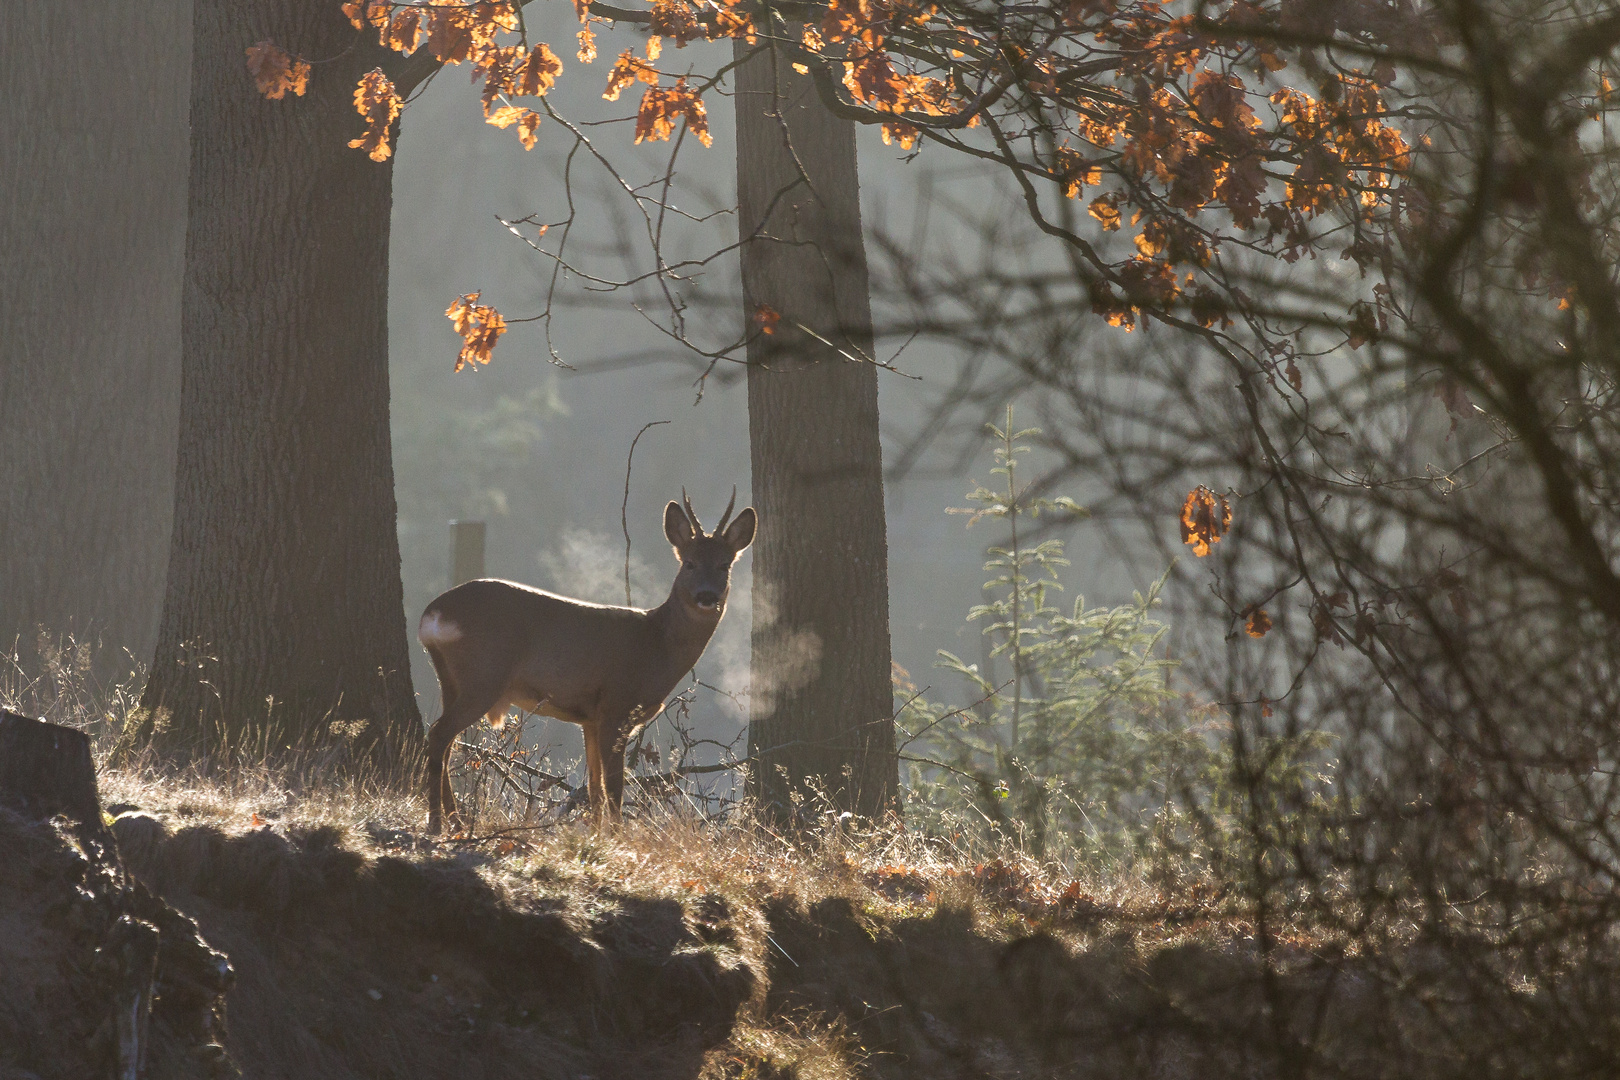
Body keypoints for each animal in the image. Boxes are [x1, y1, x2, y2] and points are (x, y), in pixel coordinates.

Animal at [414, 488, 748, 835]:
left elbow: (594, 788)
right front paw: (617, 836)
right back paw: (437, 823)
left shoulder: (590, 717)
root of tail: (432, 615)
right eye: (690, 563)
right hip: (484, 676)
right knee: (439, 734)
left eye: (725, 564)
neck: (656, 647)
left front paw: (598, 834)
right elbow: (613, 787)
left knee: (446, 741)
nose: (707, 596)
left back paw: (455, 821)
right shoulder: (616, 706)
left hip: (451, 679)